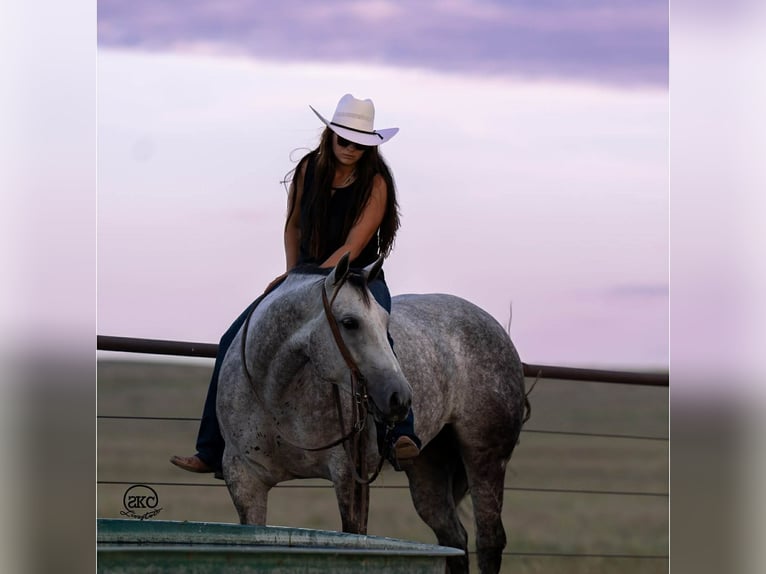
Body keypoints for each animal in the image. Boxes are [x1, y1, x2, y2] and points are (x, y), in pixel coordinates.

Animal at [217, 253, 527, 574]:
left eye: (385, 322)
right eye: (349, 322)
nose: (400, 398)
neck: (277, 397)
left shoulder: (349, 475)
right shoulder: (245, 480)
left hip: (485, 457)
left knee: (489, 540)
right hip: (429, 467)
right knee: (453, 539)